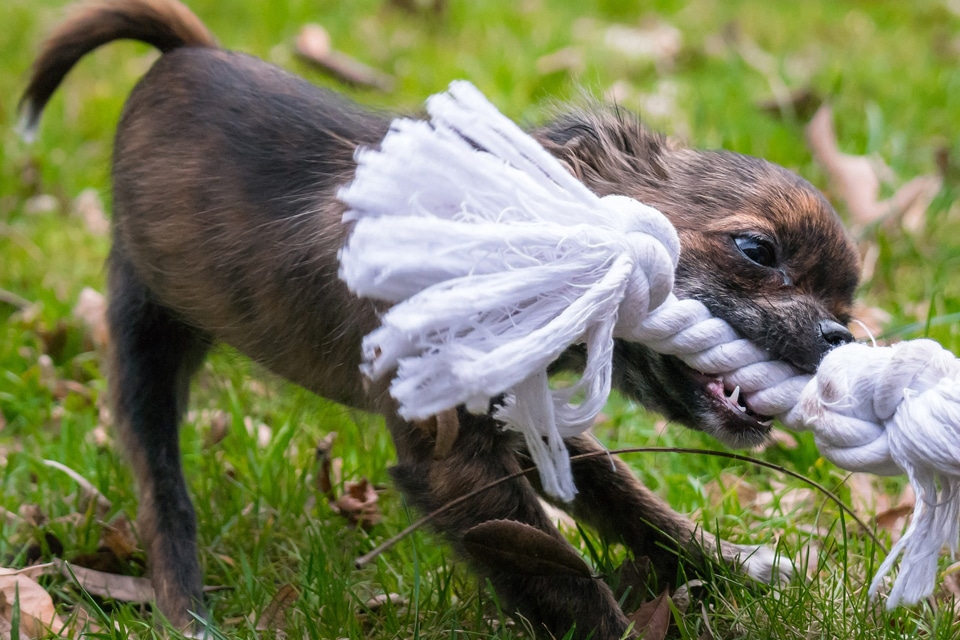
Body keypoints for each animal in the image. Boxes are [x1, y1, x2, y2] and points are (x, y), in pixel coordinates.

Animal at [22, 2, 864, 636]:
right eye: (756, 250)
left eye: (848, 302)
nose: (841, 339)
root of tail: (182, 53)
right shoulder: (454, 462)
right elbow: (564, 577)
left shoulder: (523, 415)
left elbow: (632, 503)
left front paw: (733, 568)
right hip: (144, 342)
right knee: (161, 487)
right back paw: (186, 608)